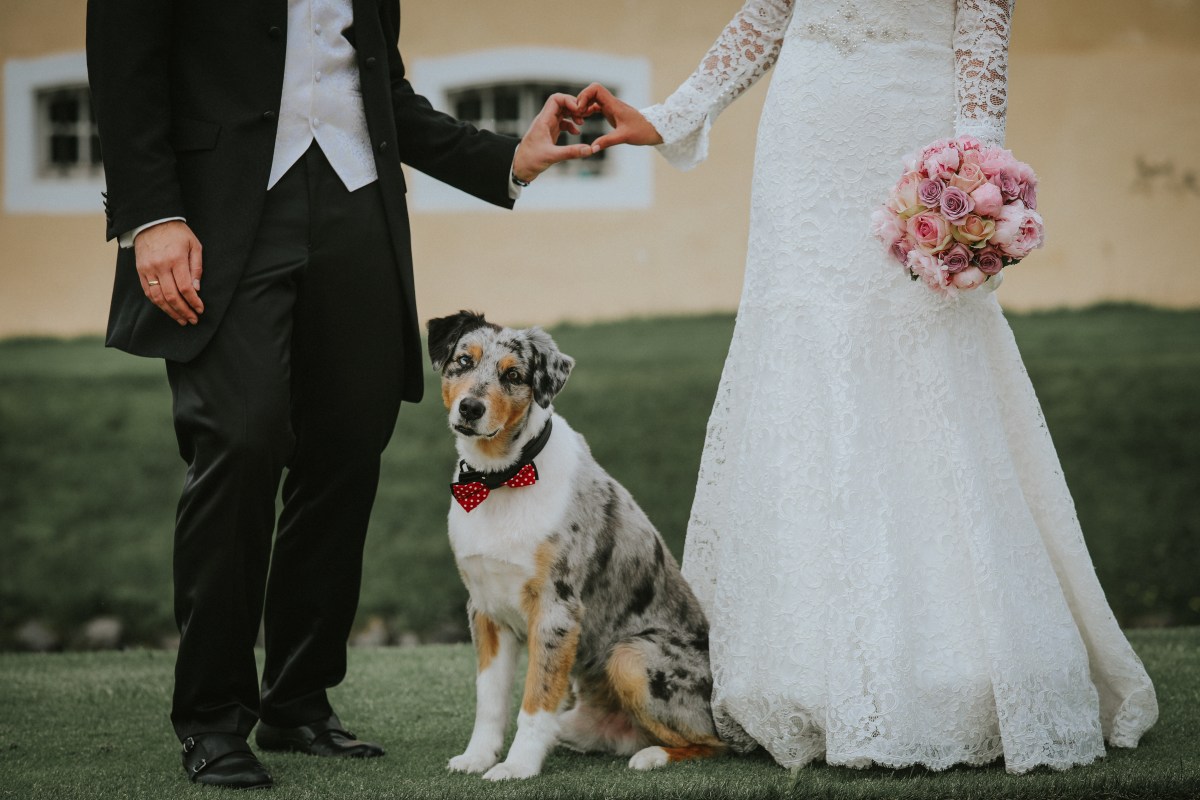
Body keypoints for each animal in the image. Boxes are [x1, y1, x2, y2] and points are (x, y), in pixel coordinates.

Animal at [427, 311, 715, 782]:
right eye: (463, 361)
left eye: (513, 375)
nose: (470, 408)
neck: (500, 479)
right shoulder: (485, 609)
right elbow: (490, 701)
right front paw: (478, 757)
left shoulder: (555, 608)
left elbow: (534, 700)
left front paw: (516, 767)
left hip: (631, 656)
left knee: (719, 739)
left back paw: (653, 756)